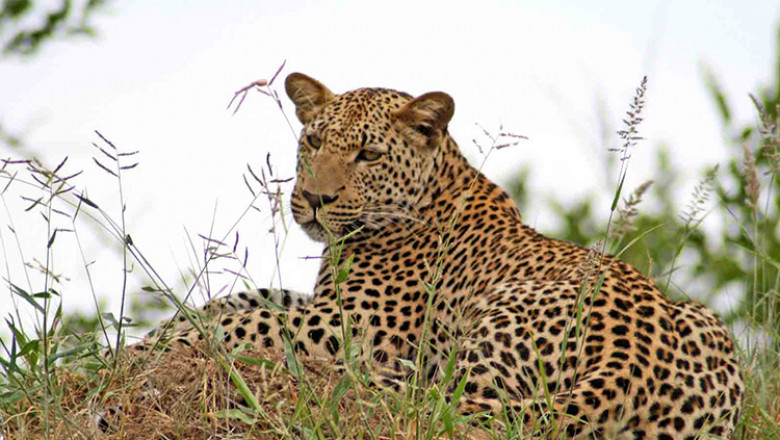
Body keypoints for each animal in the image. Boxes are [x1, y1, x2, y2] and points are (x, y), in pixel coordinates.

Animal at [125, 72, 744, 439]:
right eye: (313, 142)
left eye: (369, 154)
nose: (314, 199)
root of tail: (633, 363)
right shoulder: (325, 299)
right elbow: (239, 299)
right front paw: (163, 330)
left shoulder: (357, 322)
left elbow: (246, 321)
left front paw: (139, 351)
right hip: (705, 319)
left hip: (500, 316)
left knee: (445, 404)